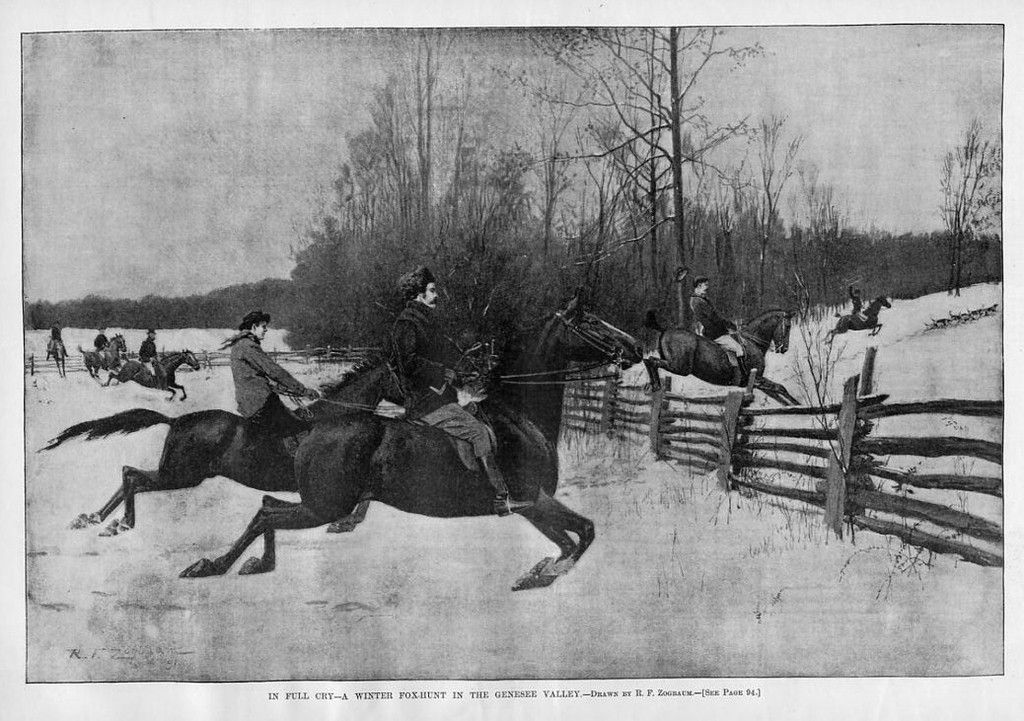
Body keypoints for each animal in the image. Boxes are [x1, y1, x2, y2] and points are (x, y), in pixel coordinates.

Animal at [638, 305, 798, 405]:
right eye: (788, 326)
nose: (784, 349)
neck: (752, 341)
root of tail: (665, 329)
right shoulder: (758, 378)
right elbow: (781, 388)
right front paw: (798, 406)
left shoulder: (756, 382)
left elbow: (779, 395)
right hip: (680, 367)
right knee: (651, 361)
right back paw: (655, 385)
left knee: (648, 361)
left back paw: (653, 386)